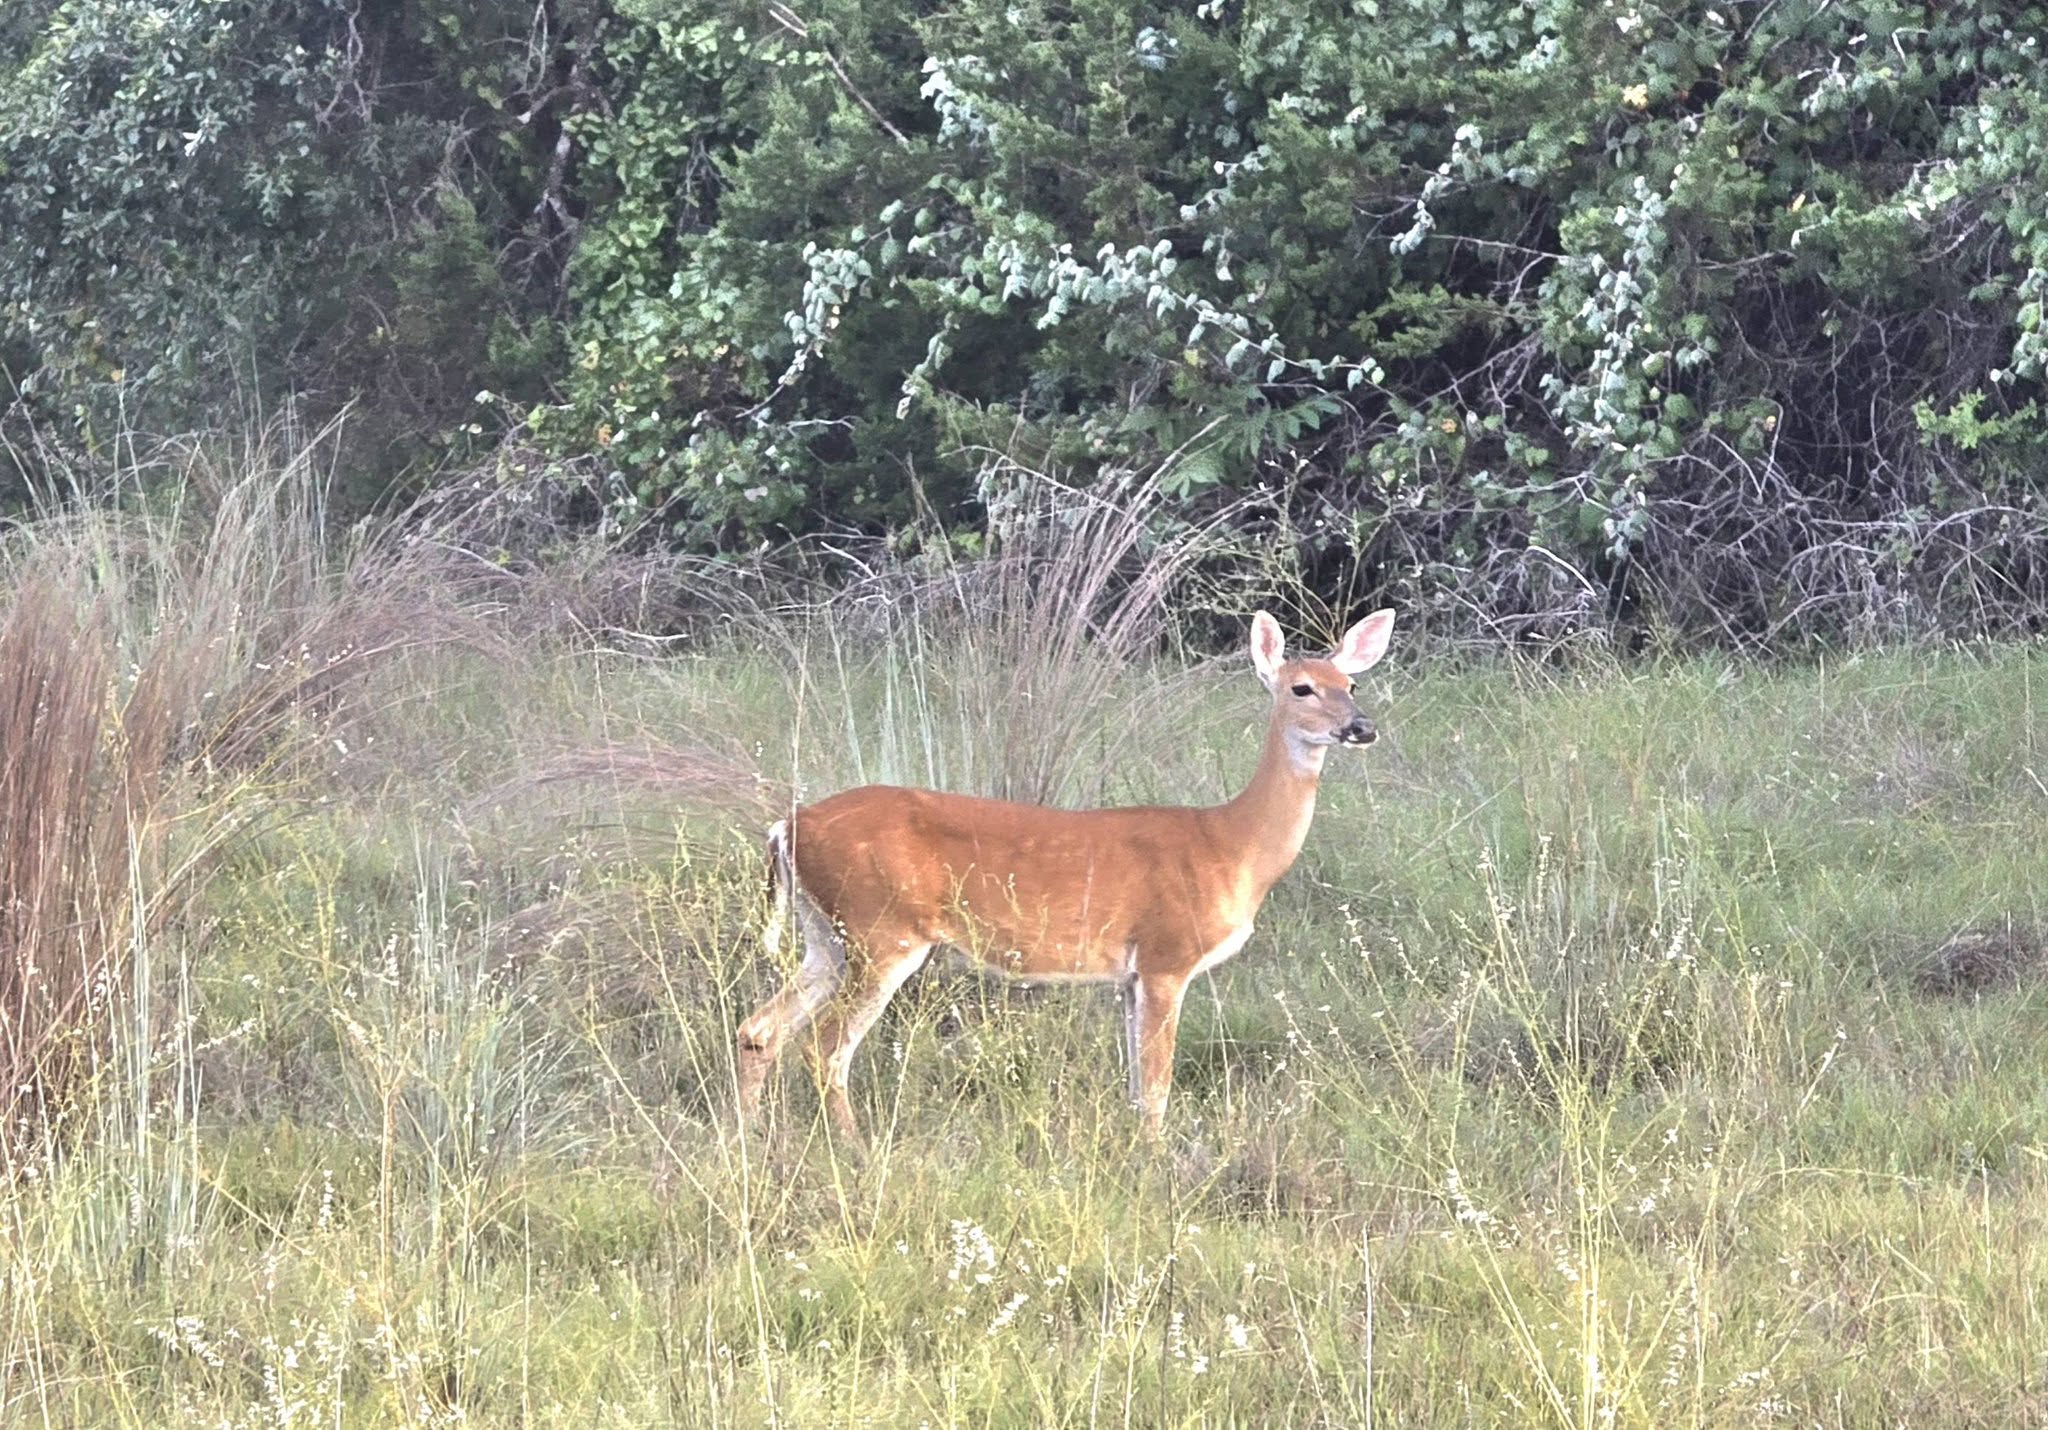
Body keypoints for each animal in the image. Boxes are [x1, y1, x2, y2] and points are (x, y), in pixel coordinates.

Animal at [735, 608, 1396, 1143]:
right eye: (1301, 687)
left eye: (1352, 683)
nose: (1361, 727)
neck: (1230, 845)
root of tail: (787, 827)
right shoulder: (1167, 955)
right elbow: (1157, 1085)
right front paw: (1157, 1164)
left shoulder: (1130, 975)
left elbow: (1136, 1086)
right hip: (882, 930)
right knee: (824, 1049)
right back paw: (854, 1148)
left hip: (827, 936)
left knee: (759, 1029)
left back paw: (748, 1137)